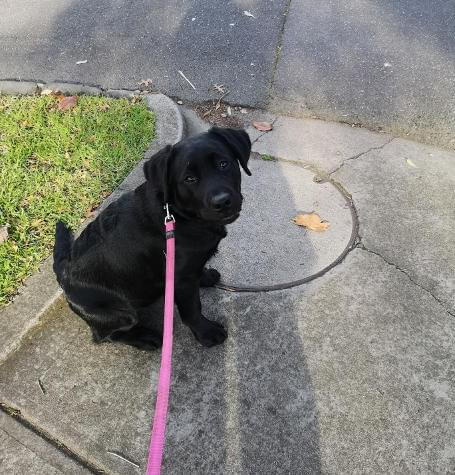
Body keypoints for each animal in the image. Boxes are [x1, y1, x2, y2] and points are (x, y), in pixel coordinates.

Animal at [54, 126, 253, 350]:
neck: (177, 214)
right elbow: (192, 309)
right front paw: (207, 333)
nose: (222, 201)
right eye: (189, 179)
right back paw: (146, 338)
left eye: (223, 164)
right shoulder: (182, 280)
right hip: (121, 313)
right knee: (107, 336)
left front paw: (206, 276)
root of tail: (62, 272)